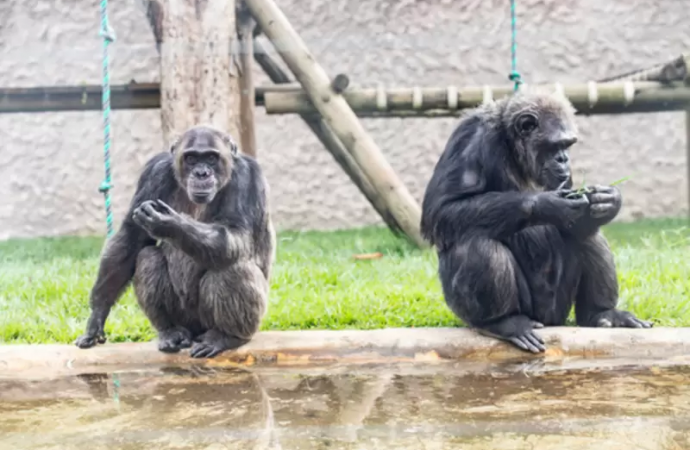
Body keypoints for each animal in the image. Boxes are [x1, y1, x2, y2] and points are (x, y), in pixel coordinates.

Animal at [75, 125, 274, 356]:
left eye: (211, 157)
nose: (201, 173)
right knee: (148, 257)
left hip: (244, 322)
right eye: (191, 158)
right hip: (186, 320)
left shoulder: (247, 177)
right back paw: (171, 333)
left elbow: (236, 234)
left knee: (233, 268)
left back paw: (224, 337)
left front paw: (171, 223)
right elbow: (131, 237)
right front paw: (96, 317)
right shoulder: (154, 171)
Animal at [420, 90, 652, 352]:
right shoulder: (471, 138)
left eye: (568, 145)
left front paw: (609, 200)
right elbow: (443, 209)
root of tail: (548, 321)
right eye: (555, 145)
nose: (563, 159)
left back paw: (603, 313)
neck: (512, 147)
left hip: (559, 307)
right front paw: (548, 204)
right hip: (517, 310)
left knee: (588, 235)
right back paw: (504, 322)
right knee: (476, 240)